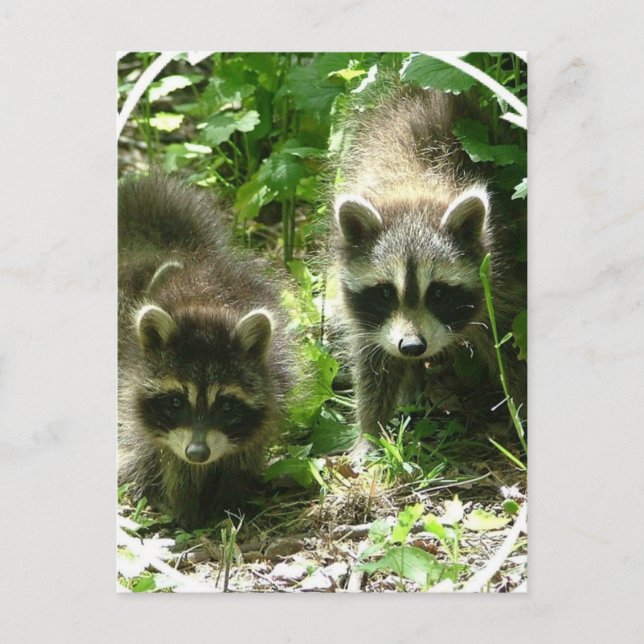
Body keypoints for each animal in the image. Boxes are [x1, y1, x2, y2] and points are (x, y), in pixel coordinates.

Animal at [118, 173, 292, 527]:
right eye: (175, 402)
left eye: (225, 405)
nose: (198, 454)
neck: (208, 303)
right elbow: (167, 458)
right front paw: (183, 506)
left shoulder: (271, 389)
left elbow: (243, 452)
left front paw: (229, 500)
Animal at [329, 85, 525, 452]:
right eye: (385, 293)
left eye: (438, 293)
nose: (412, 347)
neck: (414, 187)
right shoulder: (367, 315)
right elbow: (372, 363)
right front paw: (370, 432)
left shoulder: (501, 278)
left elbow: (513, 344)